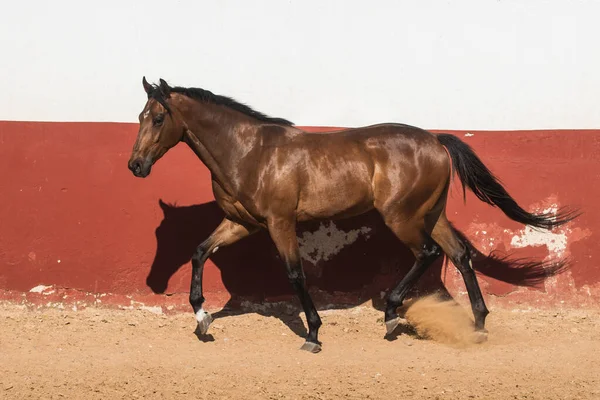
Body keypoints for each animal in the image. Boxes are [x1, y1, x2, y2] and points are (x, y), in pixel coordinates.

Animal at [129, 76, 580, 352]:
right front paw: (202, 317)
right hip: (431, 214)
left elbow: (295, 274)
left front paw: (313, 333)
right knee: (460, 254)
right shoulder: (242, 222)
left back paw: (393, 314)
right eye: (138, 116)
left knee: (429, 254)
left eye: (158, 117)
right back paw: (479, 324)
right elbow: (199, 251)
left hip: (401, 217)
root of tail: (435, 140)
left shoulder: (279, 223)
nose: (136, 166)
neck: (250, 153)